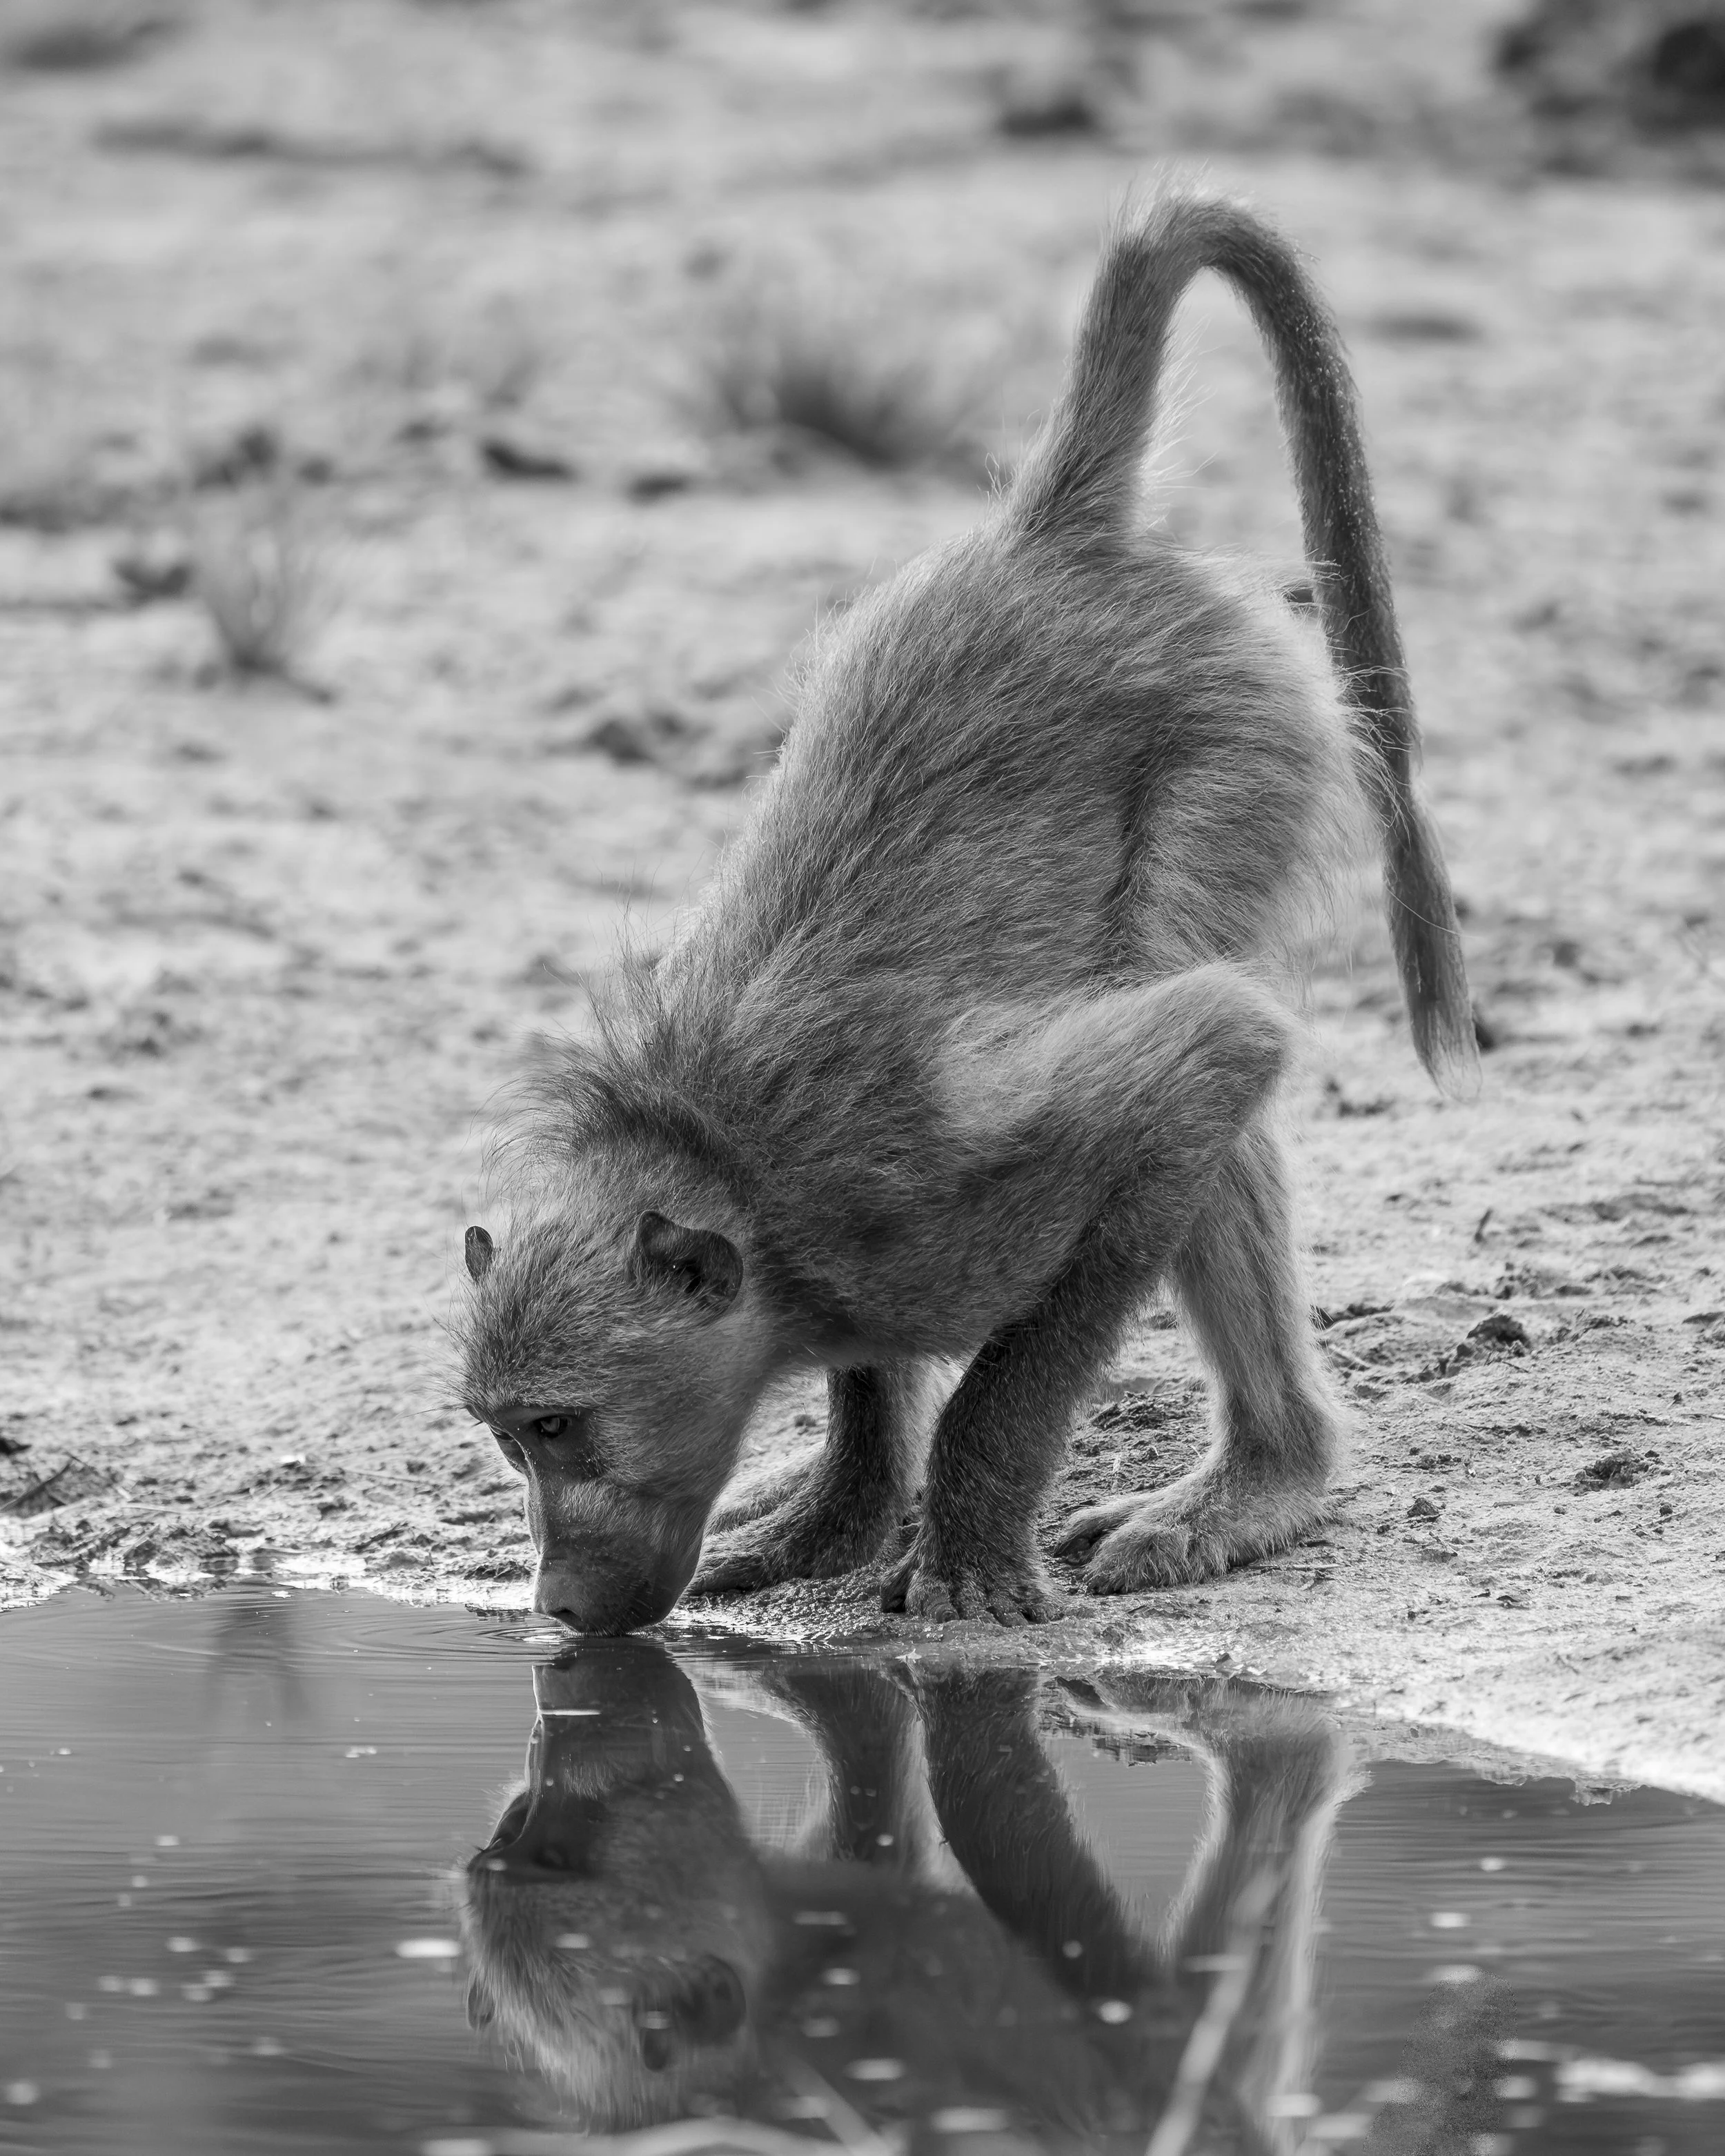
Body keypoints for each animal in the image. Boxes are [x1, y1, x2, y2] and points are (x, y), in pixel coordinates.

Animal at [457, 187, 1476, 1635]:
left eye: (559, 1426)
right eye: (506, 1435)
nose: (554, 1600)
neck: (741, 1180)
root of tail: (1051, 535)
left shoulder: (929, 1171)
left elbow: (1209, 1058)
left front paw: (967, 1552)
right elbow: (871, 1375)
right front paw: (837, 1516)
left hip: (1239, 739)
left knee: (1195, 1001)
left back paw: (1259, 1486)